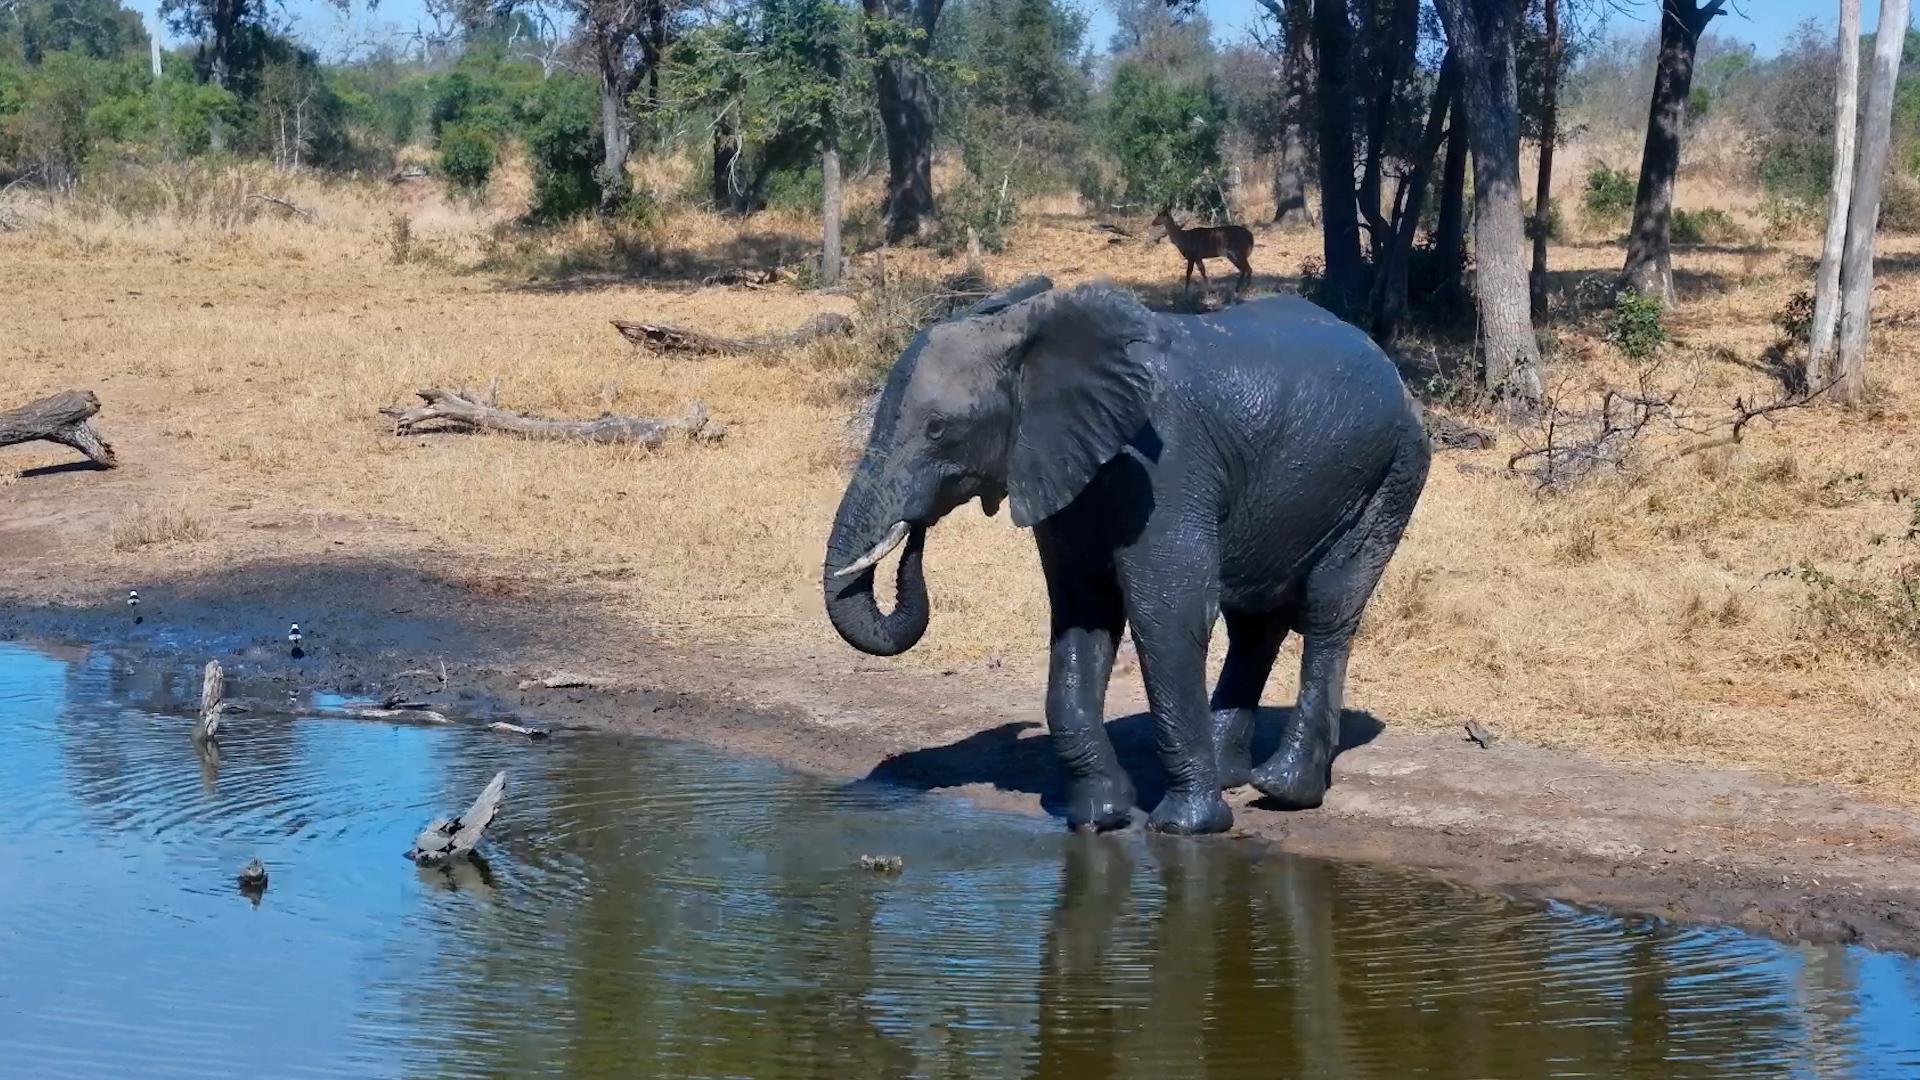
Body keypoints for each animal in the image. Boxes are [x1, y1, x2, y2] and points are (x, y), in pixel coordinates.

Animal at [821, 275, 1429, 834]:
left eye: (938, 428)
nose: (916, 534)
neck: (1030, 331)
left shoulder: (1167, 466)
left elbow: (1169, 614)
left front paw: (1185, 828)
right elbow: (1083, 614)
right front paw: (1100, 818)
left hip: (1392, 475)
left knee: (1329, 610)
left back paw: (1283, 790)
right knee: (1256, 623)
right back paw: (1232, 774)